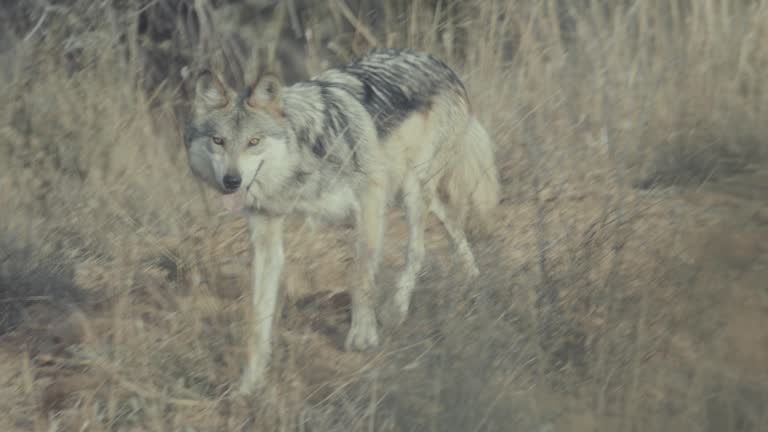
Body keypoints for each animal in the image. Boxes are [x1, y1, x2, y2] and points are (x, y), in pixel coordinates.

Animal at [184, 48, 500, 394]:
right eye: (218, 140)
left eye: (254, 141)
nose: (232, 181)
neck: (301, 164)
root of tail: (438, 62)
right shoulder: (265, 233)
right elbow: (258, 316)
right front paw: (249, 381)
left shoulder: (370, 200)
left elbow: (360, 274)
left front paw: (362, 335)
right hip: (408, 190)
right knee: (452, 222)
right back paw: (471, 275)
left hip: (411, 189)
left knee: (417, 250)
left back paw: (396, 310)